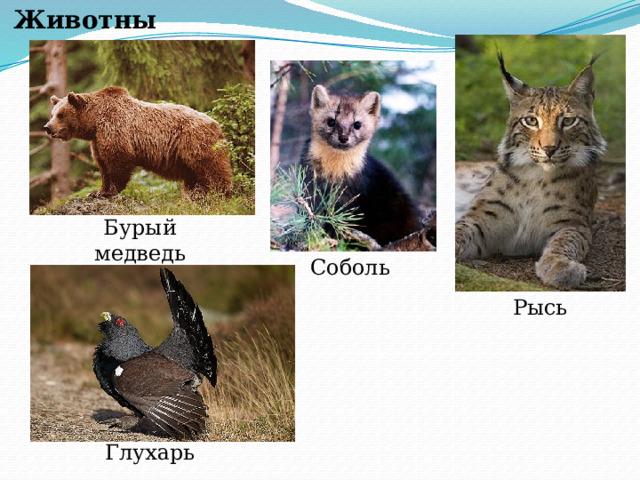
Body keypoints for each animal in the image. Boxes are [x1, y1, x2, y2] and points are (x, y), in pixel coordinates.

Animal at [44, 86, 232, 198]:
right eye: (52, 113)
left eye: (60, 114)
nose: (47, 127)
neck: (94, 122)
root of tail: (217, 124)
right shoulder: (97, 140)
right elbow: (103, 165)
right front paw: (98, 191)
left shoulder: (114, 128)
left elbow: (118, 159)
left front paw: (110, 192)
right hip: (186, 159)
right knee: (193, 179)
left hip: (196, 142)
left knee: (212, 169)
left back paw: (221, 194)